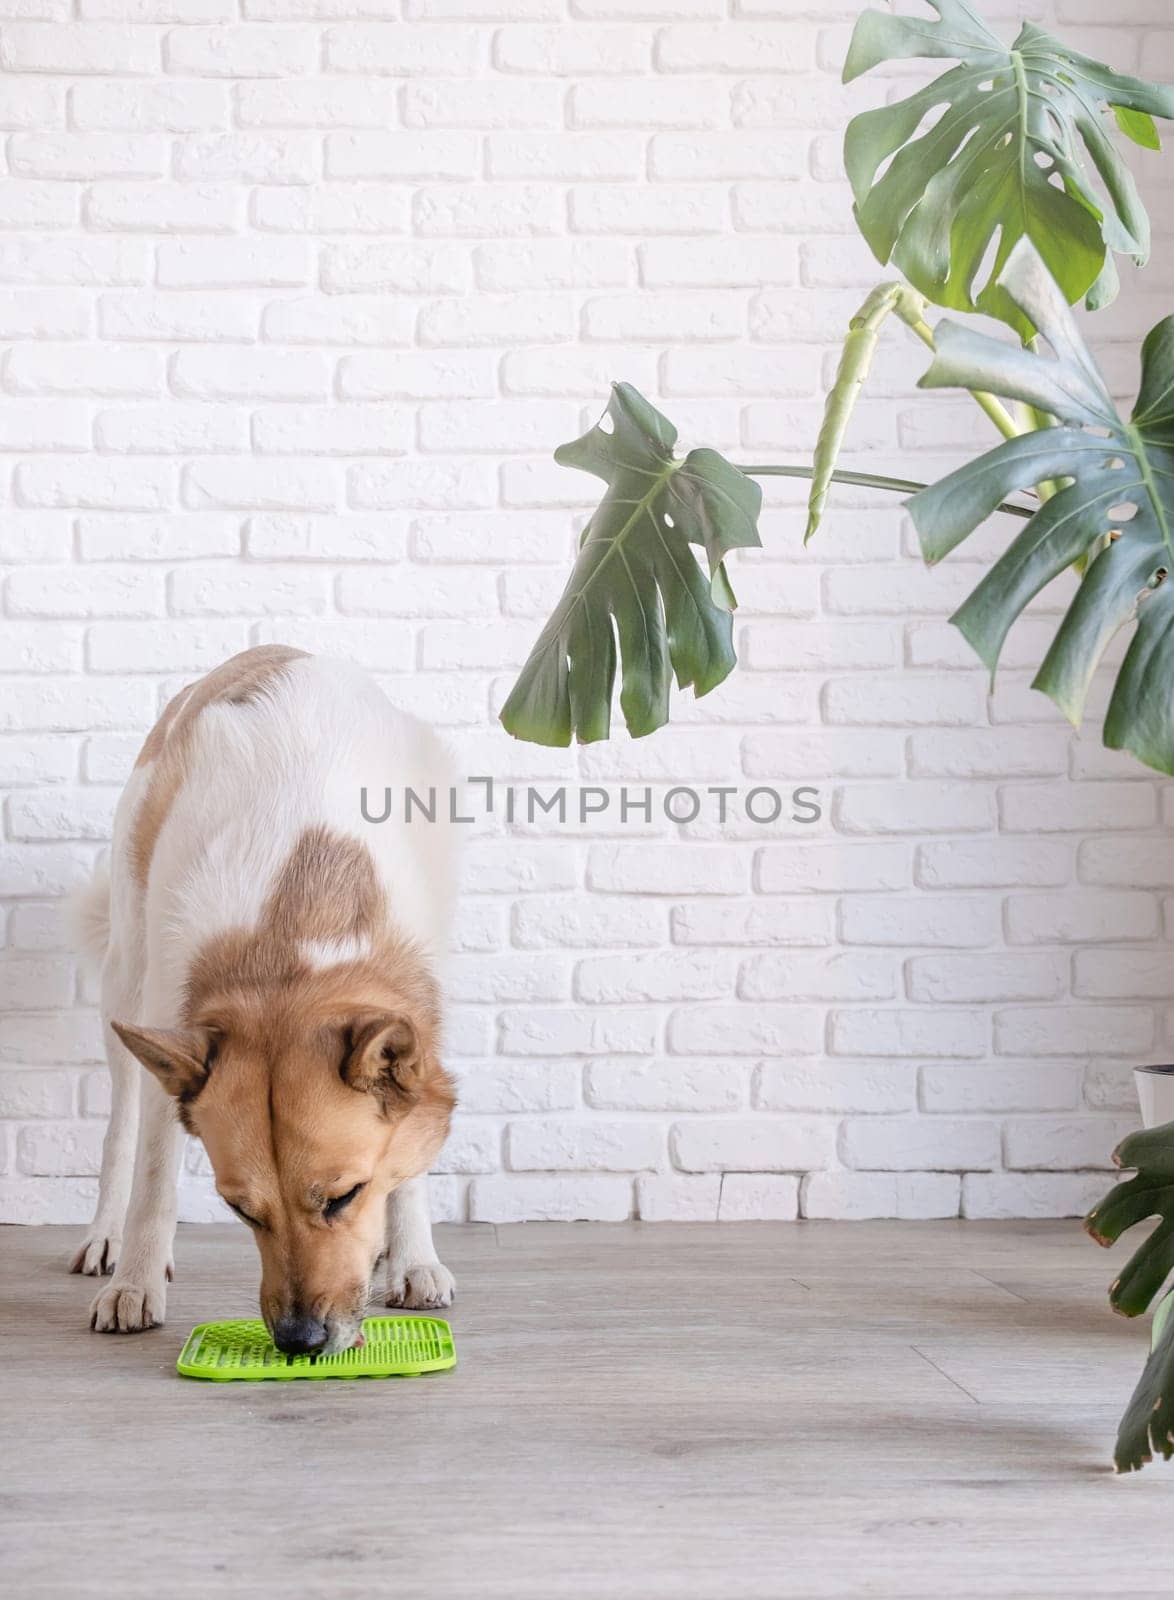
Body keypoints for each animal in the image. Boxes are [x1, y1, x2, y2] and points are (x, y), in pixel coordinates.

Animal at [66, 646, 457, 1350]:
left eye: (343, 1196)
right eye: (239, 1208)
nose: (299, 1340)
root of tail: (269, 652)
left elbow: (409, 1160)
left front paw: (413, 1259)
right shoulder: (172, 1013)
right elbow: (154, 1178)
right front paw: (136, 1282)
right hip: (128, 972)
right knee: (121, 1128)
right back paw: (107, 1237)